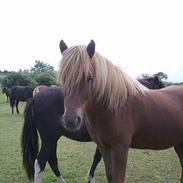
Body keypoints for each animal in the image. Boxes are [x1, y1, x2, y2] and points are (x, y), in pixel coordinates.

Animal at [21, 77, 164, 183]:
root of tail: (35, 97)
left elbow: (97, 158)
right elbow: (98, 159)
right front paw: (90, 178)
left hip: (52, 139)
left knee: (51, 159)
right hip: (49, 139)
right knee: (40, 162)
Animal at [58, 39, 183, 183]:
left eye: (89, 77)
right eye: (63, 78)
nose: (70, 121)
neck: (113, 108)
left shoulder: (120, 151)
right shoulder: (104, 149)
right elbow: (110, 176)